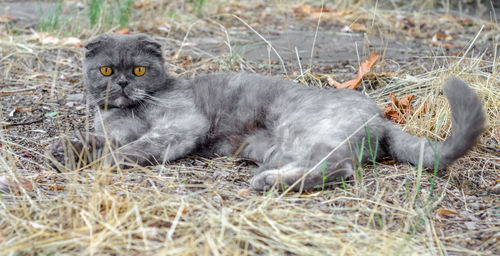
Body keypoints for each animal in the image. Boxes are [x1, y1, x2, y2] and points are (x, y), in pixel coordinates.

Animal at [50, 33, 484, 191]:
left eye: (139, 70)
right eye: (107, 70)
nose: (123, 84)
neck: (133, 110)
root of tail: (380, 116)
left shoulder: (181, 123)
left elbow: (142, 144)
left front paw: (112, 160)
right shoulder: (116, 126)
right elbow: (102, 138)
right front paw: (69, 149)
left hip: (305, 128)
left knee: (338, 168)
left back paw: (266, 182)